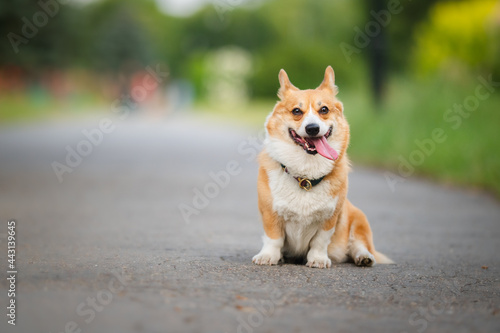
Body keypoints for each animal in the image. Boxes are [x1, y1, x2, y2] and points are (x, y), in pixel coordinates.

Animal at [252, 67, 392, 268]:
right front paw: (268, 256)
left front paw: (318, 259)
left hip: (358, 219)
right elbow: (274, 238)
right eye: (296, 111)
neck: (305, 177)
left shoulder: (330, 218)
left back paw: (364, 257)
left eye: (324, 109)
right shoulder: (270, 213)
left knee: (358, 245)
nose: (312, 128)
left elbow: (320, 241)